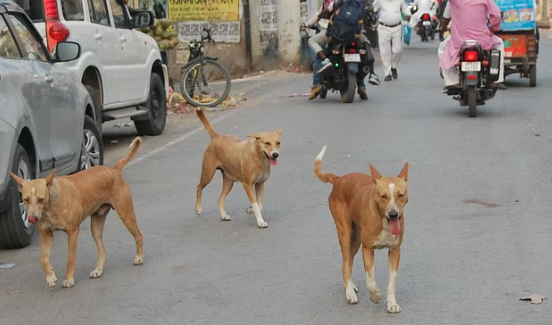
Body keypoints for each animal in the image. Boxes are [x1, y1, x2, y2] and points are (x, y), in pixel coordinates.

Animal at [11, 138, 144, 288]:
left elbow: (70, 258)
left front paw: (69, 279)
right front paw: (50, 276)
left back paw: (139, 257)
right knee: (102, 250)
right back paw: (98, 270)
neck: (51, 206)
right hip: (96, 226)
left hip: (126, 215)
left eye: (41, 199)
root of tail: (113, 169)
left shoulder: (73, 232)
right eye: (25, 199)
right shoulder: (46, 235)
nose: (32, 219)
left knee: (139, 235)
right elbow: (43, 258)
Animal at [312, 146, 408, 312]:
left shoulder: (395, 250)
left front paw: (392, 303)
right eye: (383, 196)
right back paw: (350, 293)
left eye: (400, 195)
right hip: (345, 234)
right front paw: (375, 296)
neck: (383, 220)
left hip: (356, 239)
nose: (393, 214)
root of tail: (339, 179)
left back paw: (350, 286)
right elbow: (370, 280)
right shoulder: (367, 249)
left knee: (347, 264)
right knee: (345, 264)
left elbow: (392, 281)